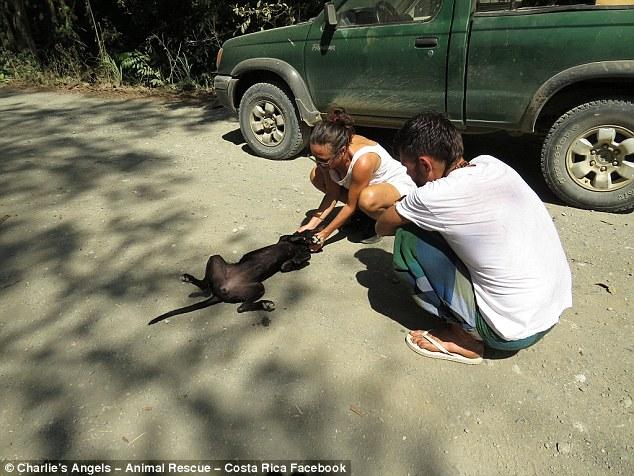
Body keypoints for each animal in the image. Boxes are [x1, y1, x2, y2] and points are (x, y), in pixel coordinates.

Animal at [151, 231, 314, 328]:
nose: (313, 238)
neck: (296, 248)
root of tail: (221, 291)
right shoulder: (283, 239)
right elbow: (292, 237)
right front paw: (304, 238)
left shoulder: (287, 263)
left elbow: (296, 260)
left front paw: (300, 257)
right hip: (225, 266)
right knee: (229, 300)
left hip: (238, 277)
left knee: (236, 304)